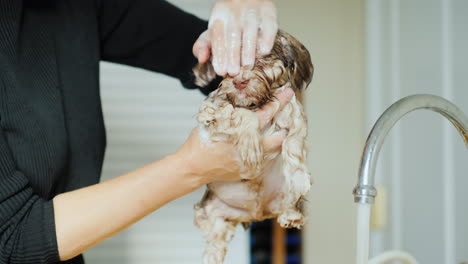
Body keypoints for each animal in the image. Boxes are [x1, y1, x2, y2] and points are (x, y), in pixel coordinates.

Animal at [192, 29, 312, 264]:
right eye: (228, 58)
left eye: (262, 56)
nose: (240, 82)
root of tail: (255, 213)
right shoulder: (214, 113)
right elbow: (235, 111)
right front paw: (249, 141)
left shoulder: (294, 114)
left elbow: (294, 153)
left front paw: (299, 181)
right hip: (209, 211)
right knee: (215, 236)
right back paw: (211, 255)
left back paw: (291, 212)